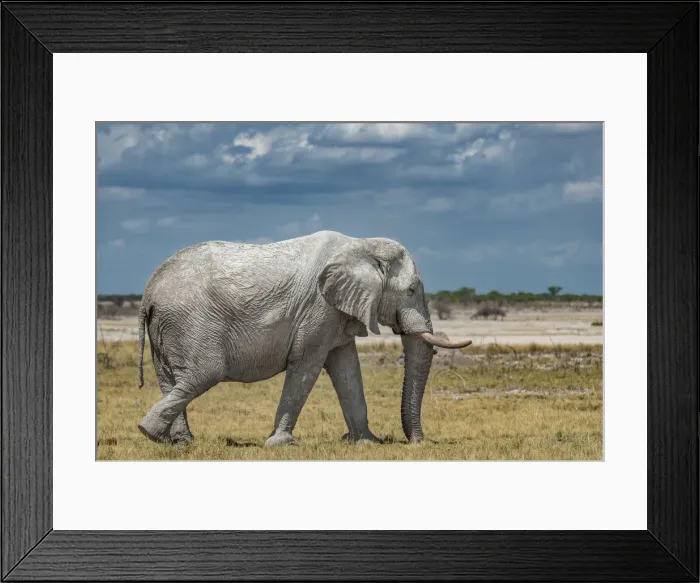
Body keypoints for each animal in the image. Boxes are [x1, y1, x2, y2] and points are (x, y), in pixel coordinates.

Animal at [136, 230, 471, 446]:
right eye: (411, 290)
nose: (418, 443)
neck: (360, 245)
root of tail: (149, 291)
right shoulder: (318, 308)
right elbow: (307, 366)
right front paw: (282, 444)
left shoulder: (335, 313)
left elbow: (347, 370)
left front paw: (365, 443)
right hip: (190, 323)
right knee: (204, 373)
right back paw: (148, 433)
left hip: (169, 327)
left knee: (173, 380)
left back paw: (178, 442)